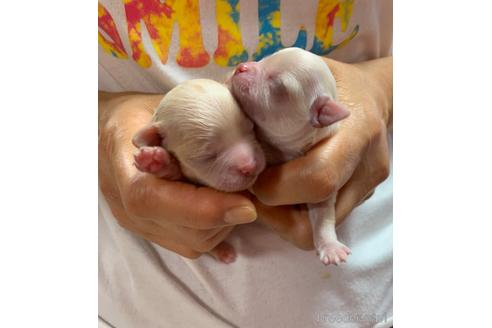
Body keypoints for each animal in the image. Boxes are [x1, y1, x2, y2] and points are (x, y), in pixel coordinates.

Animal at [229, 47, 352, 266]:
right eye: (265, 58)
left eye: (278, 87)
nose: (241, 67)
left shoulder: (318, 191)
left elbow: (323, 214)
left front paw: (331, 247)